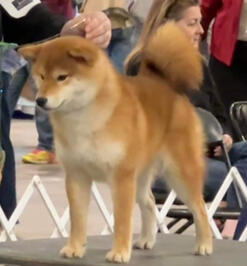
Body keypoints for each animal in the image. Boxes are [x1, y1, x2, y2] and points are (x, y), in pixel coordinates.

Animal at [19, 22, 212, 262]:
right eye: (42, 76)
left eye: (62, 77)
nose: (40, 100)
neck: (84, 119)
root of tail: (167, 85)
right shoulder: (76, 175)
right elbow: (77, 218)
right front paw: (74, 247)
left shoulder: (121, 177)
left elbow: (122, 220)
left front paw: (119, 252)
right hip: (140, 177)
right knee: (149, 202)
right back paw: (146, 240)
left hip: (180, 174)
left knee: (199, 207)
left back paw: (204, 245)